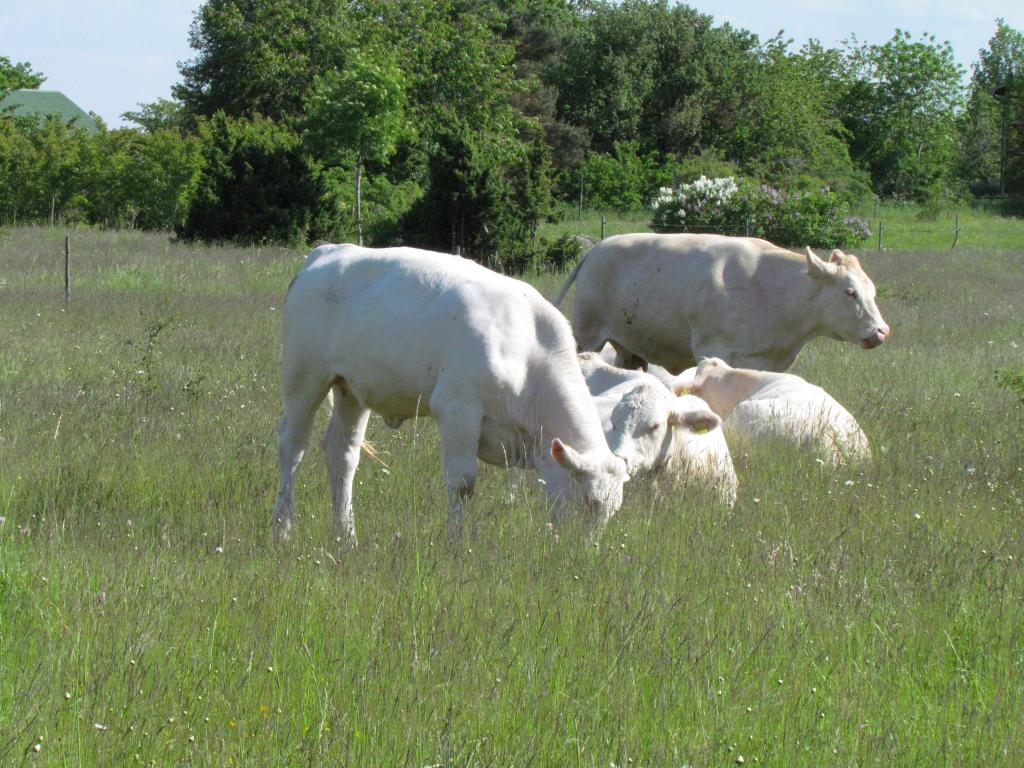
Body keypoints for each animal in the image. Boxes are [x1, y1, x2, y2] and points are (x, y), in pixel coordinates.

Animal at [272, 243, 626, 544]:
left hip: (351, 390)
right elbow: (462, 484)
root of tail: (327, 252)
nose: (584, 551)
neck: (527, 350)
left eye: (613, 510)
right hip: (304, 377)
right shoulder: (459, 410)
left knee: (342, 454)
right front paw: (456, 545)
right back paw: (282, 530)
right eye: (591, 501)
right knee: (293, 446)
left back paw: (346, 539)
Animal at [552, 234, 888, 376]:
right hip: (588, 335)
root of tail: (598, 247)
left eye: (872, 292)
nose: (882, 332)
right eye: (850, 292)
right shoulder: (711, 350)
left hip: (630, 348)